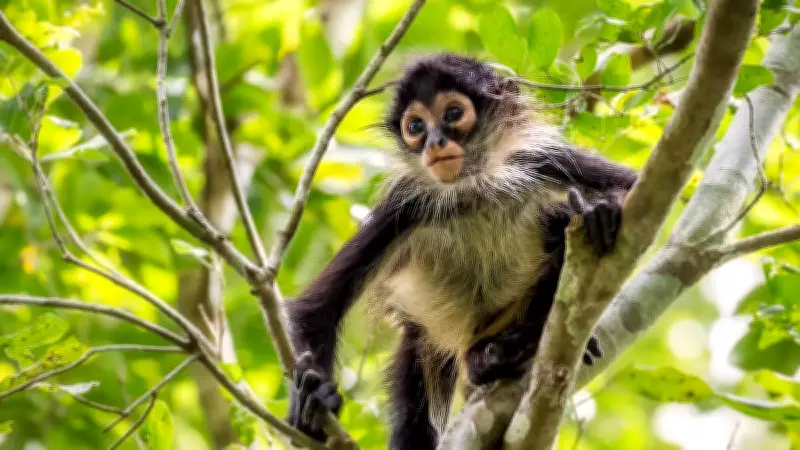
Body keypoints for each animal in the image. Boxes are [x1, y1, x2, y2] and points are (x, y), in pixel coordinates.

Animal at [285, 53, 637, 449]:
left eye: (453, 114)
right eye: (416, 126)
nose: (434, 141)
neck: (472, 190)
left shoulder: (538, 159)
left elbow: (634, 187)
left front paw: (601, 210)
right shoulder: (404, 208)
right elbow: (316, 309)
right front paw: (311, 404)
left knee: (558, 222)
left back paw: (512, 347)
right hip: (425, 339)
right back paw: (491, 360)